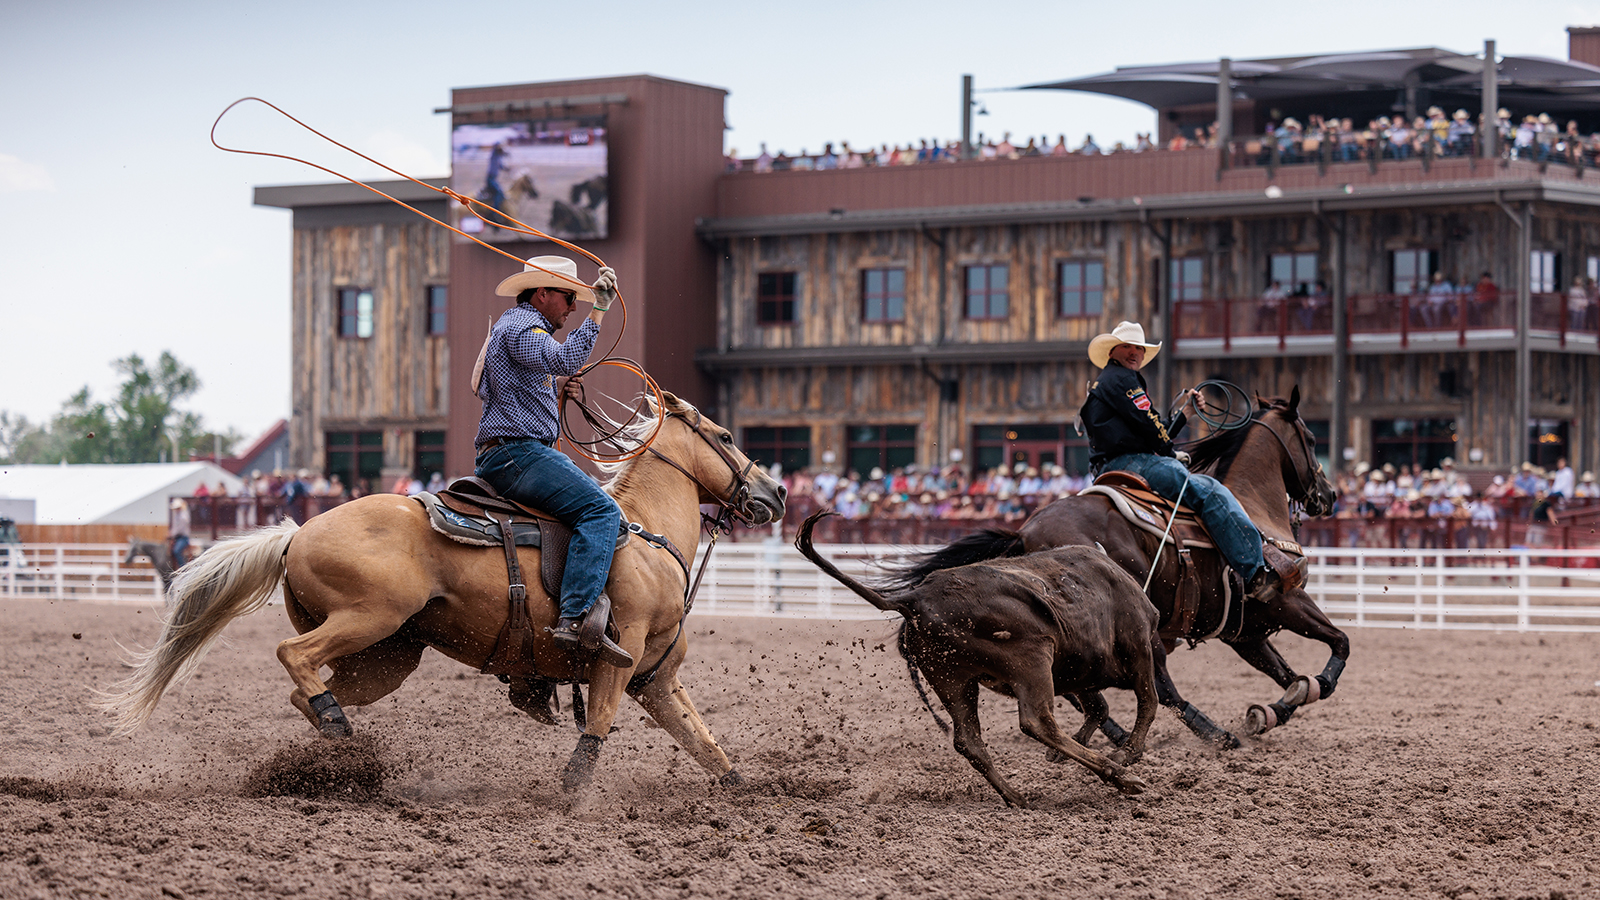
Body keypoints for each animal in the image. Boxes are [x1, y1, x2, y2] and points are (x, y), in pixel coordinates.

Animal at [100, 392, 787, 784]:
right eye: (726, 437)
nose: (777, 492)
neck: (646, 538)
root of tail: (297, 533)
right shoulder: (616, 661)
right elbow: (596, 732)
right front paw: (570, 799)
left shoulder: (656, 678)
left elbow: (708, 746)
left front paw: (749, 795)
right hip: (368, 619)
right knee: (294, 658)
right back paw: (339, 733)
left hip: (387, 657)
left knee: (307, 690)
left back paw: (341, 752)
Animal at [896, 385, 1344, 743]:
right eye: (1311, 437)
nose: (1329, 495)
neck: (1253, 508)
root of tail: (1025, 532)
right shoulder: (1287, 601)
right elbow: (1340, 643)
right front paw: (1314, 685)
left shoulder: (1244, 632)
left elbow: (1286, 674)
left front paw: (1272, 712)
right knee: (1155, 688)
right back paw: (1210, 734)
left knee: (1079, 688)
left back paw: (1110, 733)